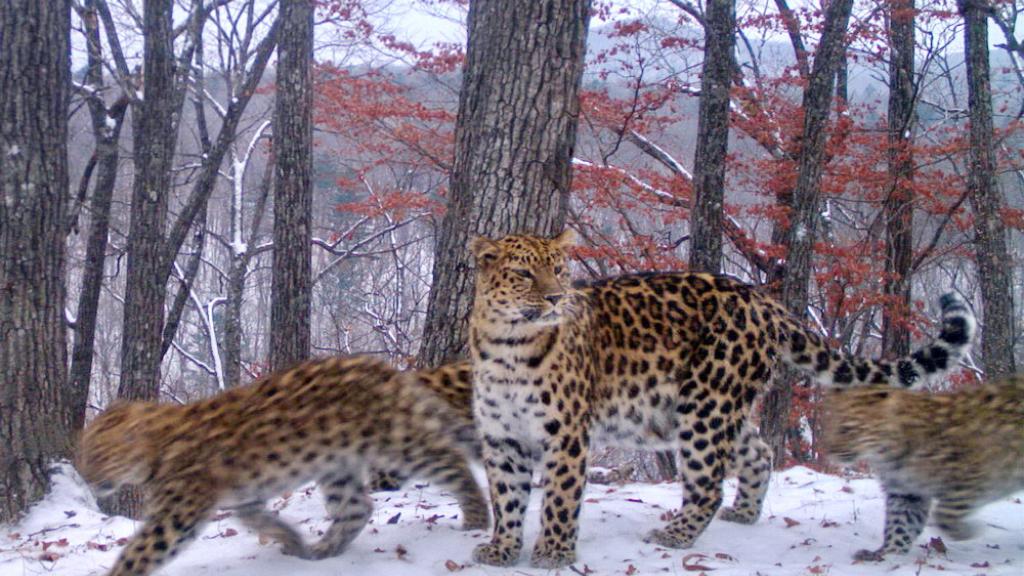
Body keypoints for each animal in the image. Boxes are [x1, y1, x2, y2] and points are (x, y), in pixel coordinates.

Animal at [75, 355, 488, 576]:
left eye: (96, 456)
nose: (86, 479)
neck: (157, 443)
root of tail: (387, 369)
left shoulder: (176, 515)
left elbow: (140, 551)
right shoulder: (244, 497)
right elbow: (258, 520)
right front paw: (291, 540)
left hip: (398, 443)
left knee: (452, 461)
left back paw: (477, 517)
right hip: (337, 465)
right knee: (357, 508)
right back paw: (322, 551)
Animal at [466, 230, 975, 568]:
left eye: (558, 269)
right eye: (524, 273)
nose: (555, 298)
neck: (508, 345)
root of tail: (763, 301)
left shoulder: (567, 432)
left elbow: (559, 495)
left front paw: (553, 552)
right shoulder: (501, 436)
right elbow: (506, 497)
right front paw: (502, 549)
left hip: (706, 404)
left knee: (708, 483)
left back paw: (674, 534)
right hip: (712, 405)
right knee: (759, 451)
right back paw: (744, 514)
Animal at [823, 375, 1024, 561]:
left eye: (846, 429)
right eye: (828, 424)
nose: (828, 450)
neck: (890, 454)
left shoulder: (972, 475)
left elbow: (945, 513)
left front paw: (968, 531)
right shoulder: (906, 493)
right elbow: (899, 526)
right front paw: (888, 554)